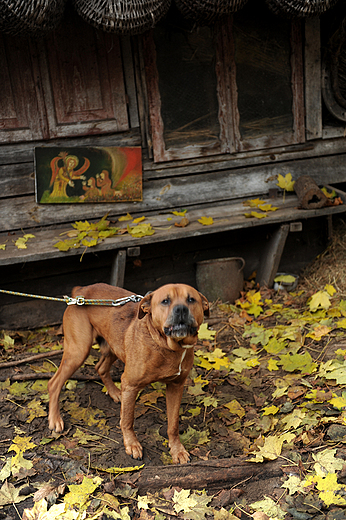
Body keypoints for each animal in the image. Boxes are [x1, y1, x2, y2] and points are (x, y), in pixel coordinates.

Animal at [48, 284, 208, 464]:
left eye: (191, 299)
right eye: (165, 301)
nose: (181, 309)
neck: (168, 346)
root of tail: (81, 291)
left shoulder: (176, 387)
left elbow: (173, 424)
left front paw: (177, 450)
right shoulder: (131, 385)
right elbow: (127, 420)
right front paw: (132, 444)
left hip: (113, 346)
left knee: (100, 368)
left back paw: (115, 393)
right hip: (78, 351)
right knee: (54, 383)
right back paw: (55, 419)